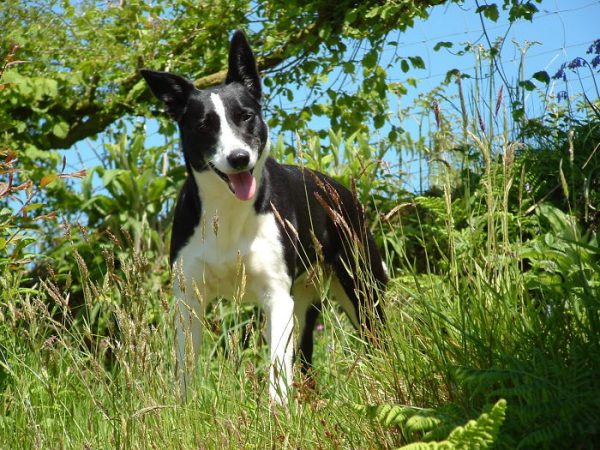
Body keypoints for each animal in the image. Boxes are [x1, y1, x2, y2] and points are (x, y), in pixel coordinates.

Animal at [139, 31, 386, 404]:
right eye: (204, 125)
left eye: (245, 116)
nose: (239, 158)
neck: (228, 214)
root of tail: (339, 190)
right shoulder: (188, 299)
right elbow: (186, 369)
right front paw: (185, 408)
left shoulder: (276, 297)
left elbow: (276, 369)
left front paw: (277, 412)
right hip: (305, 304)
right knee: (306, 363)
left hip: (360, 289)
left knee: (376, 342)